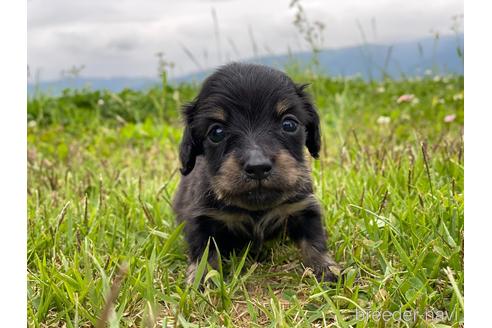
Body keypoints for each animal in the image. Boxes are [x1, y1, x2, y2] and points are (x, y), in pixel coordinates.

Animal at [172, 62, 338, 284]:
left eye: (289, 124)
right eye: (216, 132)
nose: (258, 167)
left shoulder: (304, 207)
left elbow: (314, 241)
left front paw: (326, 268)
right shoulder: (201, 218)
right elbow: (204, 251)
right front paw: (202, 278)